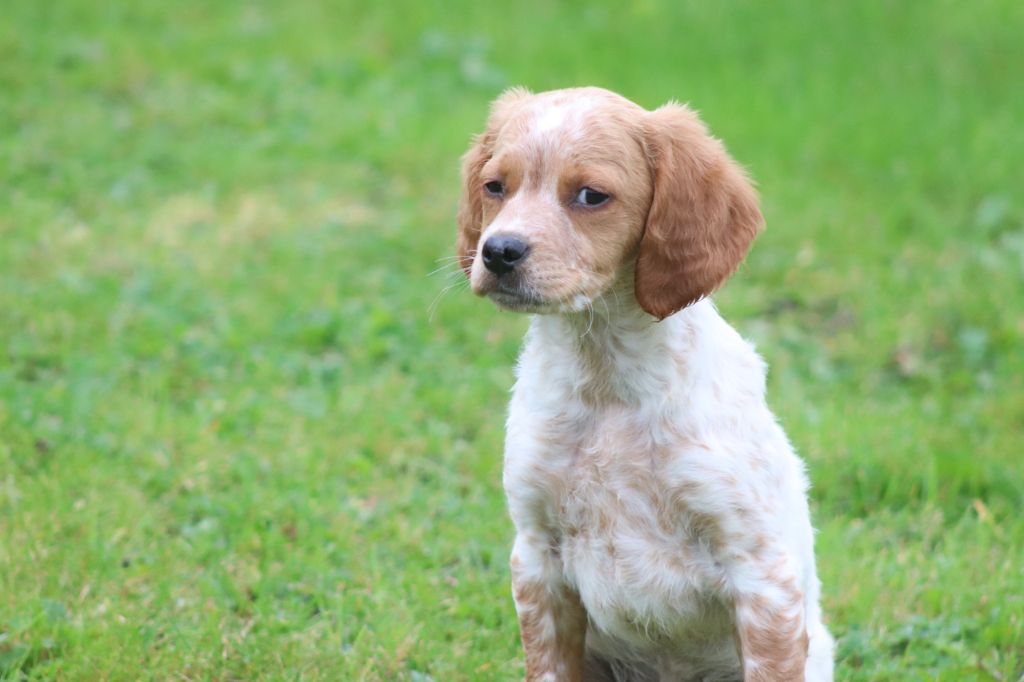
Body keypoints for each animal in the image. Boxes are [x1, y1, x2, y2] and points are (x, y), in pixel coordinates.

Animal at [456, 87, 831, 675]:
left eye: (591, 195)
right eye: (495, 187)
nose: (498, 251)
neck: (607, 383)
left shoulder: (762, 576)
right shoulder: (538, 559)